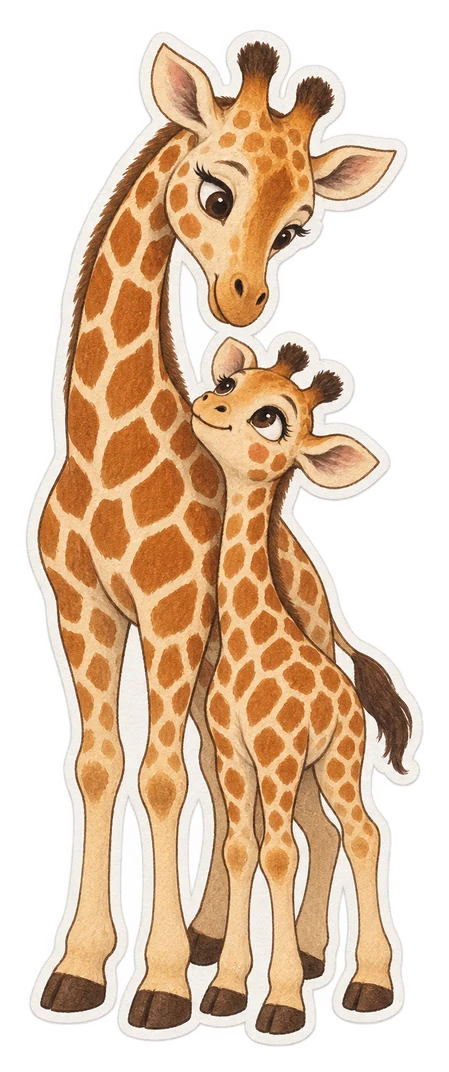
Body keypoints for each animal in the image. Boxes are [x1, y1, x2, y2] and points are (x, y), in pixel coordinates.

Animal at [192, 337, 403, 1035]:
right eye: (229, 381)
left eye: (271, 419)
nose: (207, 404)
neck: (247, 642)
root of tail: (348, 688)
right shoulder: (233, 754)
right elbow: (240, 847)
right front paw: (227, 989)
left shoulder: (277, 756)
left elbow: (277, 853)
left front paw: (280, 1002)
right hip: (314, 768)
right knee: (335, 834)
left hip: (337, 760)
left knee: (364, 834)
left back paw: (369, 985)